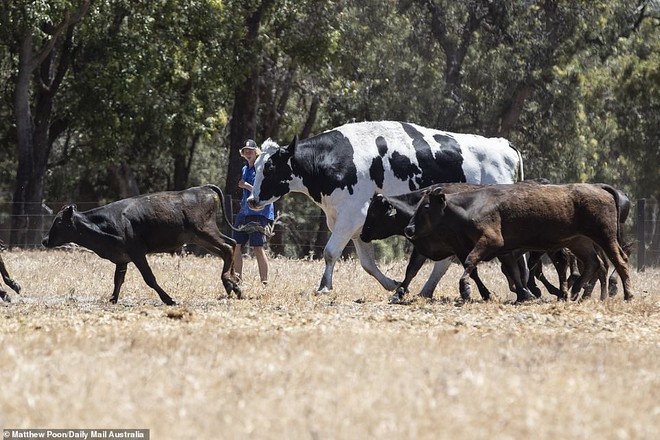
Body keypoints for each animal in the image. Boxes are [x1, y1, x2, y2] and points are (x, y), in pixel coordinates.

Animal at [245, 119, 524, 292]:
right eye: (255, 166)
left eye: (270, 168)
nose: (252, 200)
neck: (335, 159)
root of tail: (502, 144)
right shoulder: (356, 225)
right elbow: (367, 264)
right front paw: (392, 284)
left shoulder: (350, 217)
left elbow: (330, 252)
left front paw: (324, 286)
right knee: (445, 261)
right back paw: (426, 290)